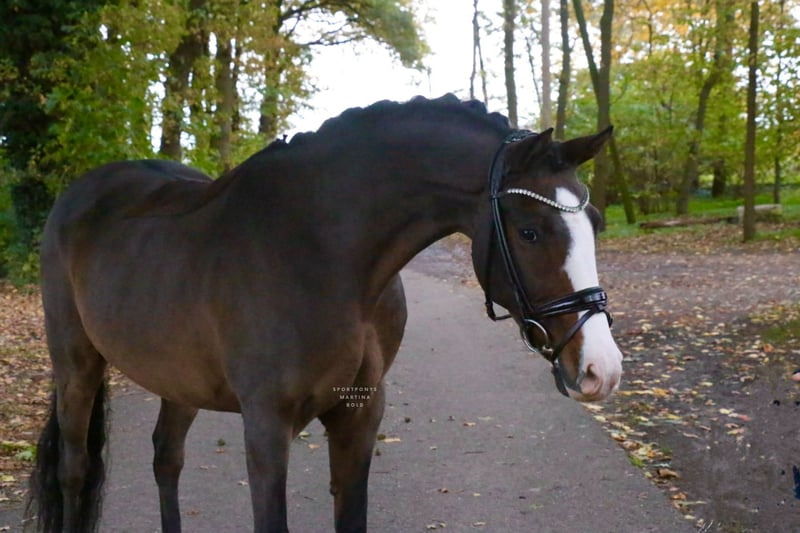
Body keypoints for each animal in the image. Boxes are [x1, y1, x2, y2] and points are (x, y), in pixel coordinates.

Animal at [26, 94, 623, 532]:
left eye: (595, 220)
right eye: (530, 231)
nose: (602, 369)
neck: (322, 254)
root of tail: (79, 195)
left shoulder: (359, 415)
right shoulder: (266, 425)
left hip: (178, 380)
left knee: (165, 458)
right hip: (76, 362)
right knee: (75, 470)